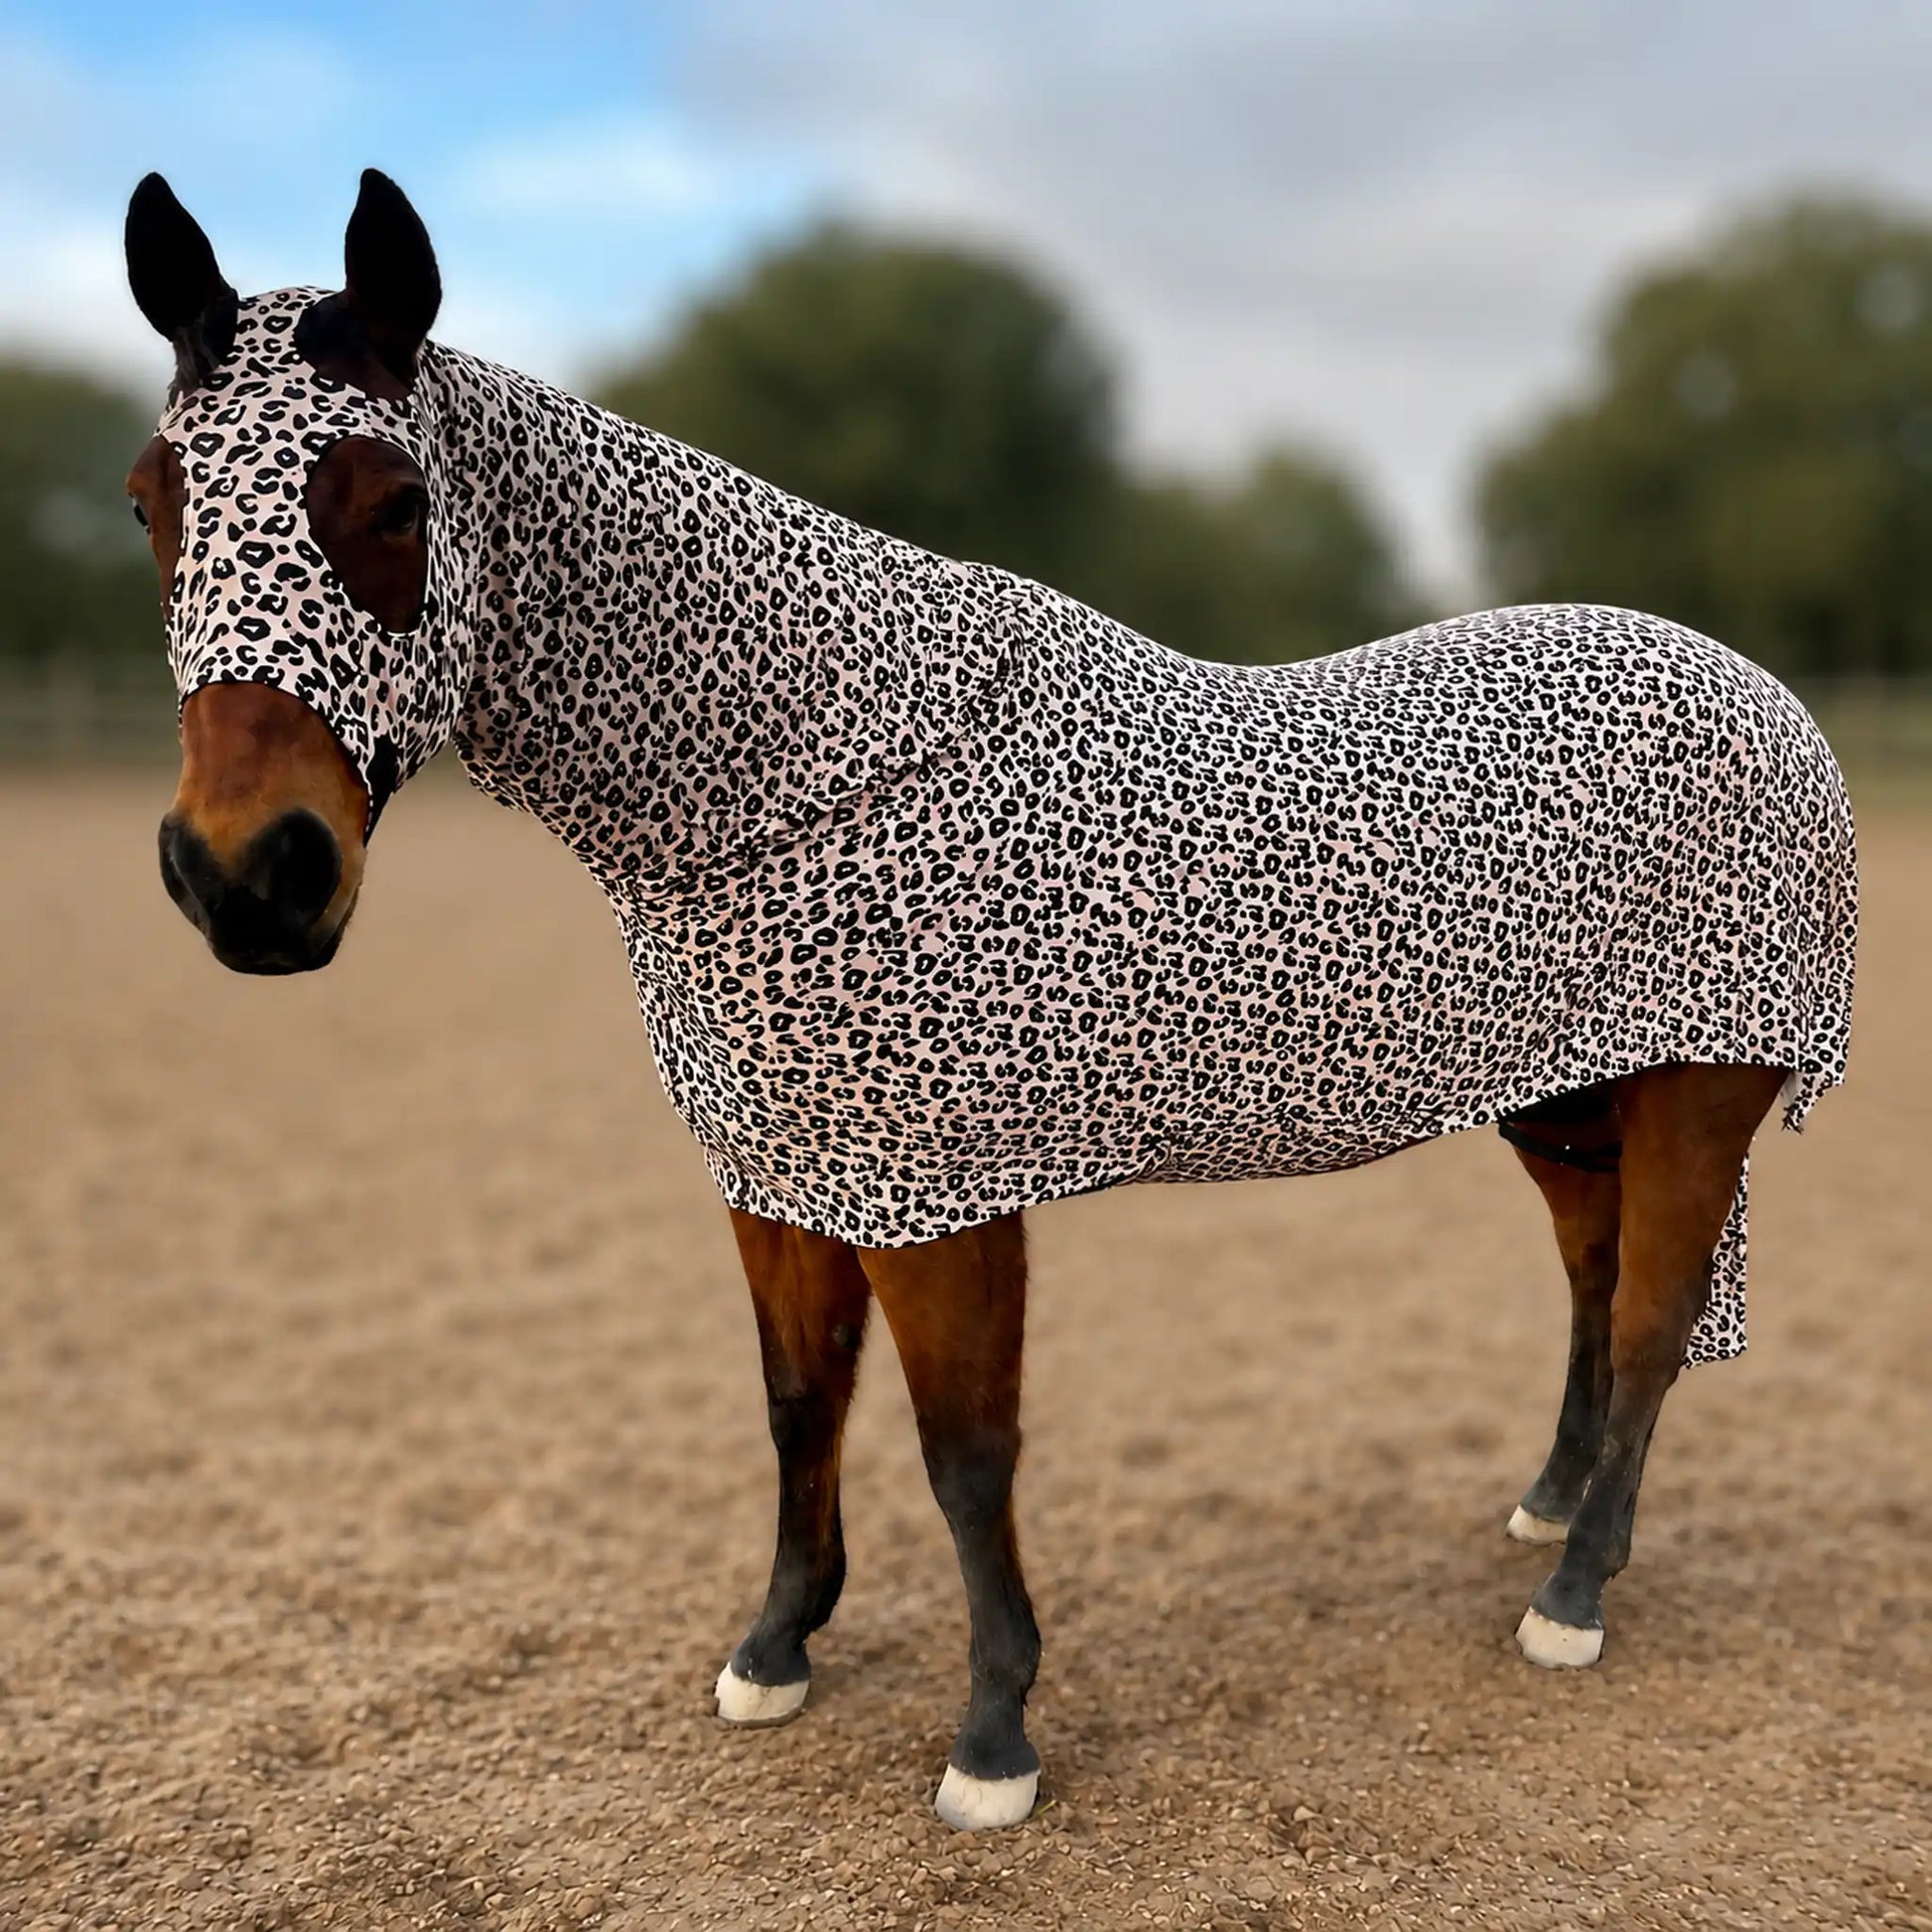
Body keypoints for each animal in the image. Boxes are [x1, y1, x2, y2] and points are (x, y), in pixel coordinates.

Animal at [121, 170, 1857, 1832]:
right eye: (151, 498)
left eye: (396, 502)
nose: (247, 877)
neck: (818, 776)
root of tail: (1769, 701)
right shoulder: (781, 1178)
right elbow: (797, 1401)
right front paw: (775, 1645)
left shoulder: (940, 1203)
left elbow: (963, 1454)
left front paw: (993, 1736)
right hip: (1561, 1101)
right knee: (1592, 1284)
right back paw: (1555, 1509)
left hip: (1693, 1092)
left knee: (1647, 1320)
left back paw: (1570, 1595)